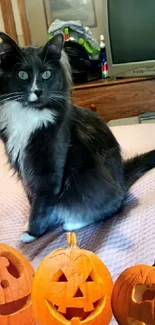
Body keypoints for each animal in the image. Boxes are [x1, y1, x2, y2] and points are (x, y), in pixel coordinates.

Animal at [0, 31, 155, 242]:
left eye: (46, 74)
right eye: (22, 75)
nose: (37, 91)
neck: (29, 114)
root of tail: (122, 181)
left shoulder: (50, 168)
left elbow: (41, 205)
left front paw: (32, 234)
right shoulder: (25, 170)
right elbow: (33, 199)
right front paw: (34, 225)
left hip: (102, 188)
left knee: (112, 207)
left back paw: (73, 222)